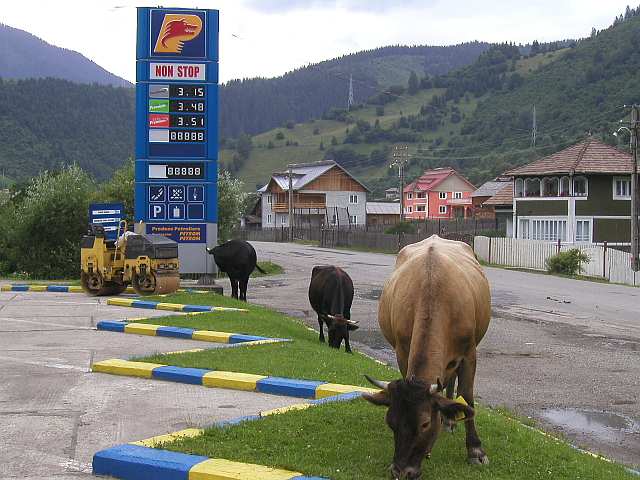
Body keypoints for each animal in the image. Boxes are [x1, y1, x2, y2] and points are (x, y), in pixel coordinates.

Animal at [363, 235, 491, 478]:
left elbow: (467, 396)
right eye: (391, 422)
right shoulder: (402, 350)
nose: (401, 471)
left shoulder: (469, 353)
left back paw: (450, 419)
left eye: (424, 424)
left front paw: (475, 450)